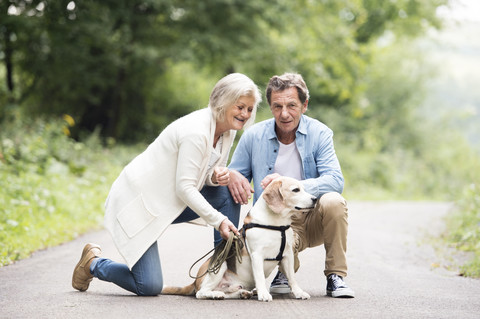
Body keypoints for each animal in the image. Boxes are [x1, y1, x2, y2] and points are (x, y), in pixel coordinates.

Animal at [163, 176, 316, 302]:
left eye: (303, 188)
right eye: (295, 190)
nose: (315, 199)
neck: (277, 225)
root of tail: (195, 282)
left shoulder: (287, 255)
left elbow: (292, 278)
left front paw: (299, 292)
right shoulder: (257, 255)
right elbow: (260, 277)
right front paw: (264, 294)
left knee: (227, 293)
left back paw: (242, 293)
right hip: (220, 265)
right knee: (201, 293)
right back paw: (216, 294)